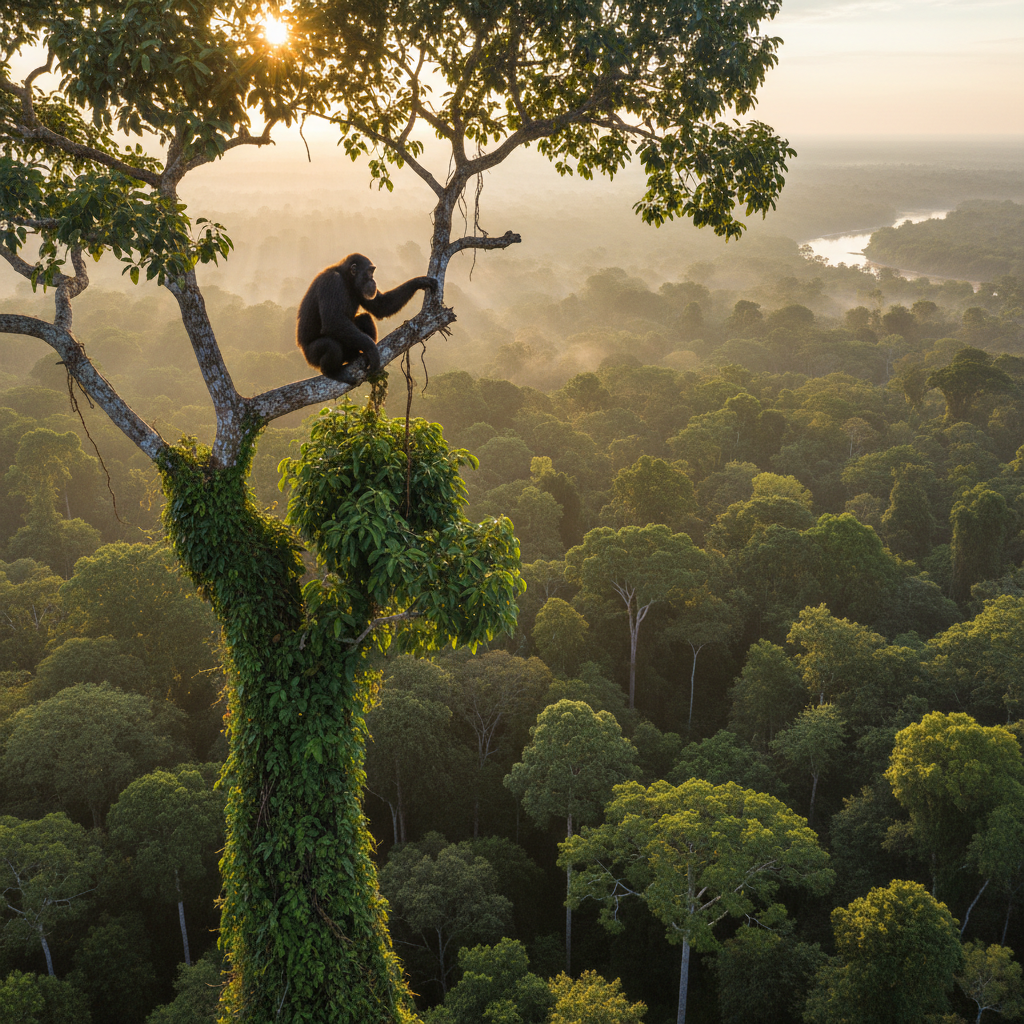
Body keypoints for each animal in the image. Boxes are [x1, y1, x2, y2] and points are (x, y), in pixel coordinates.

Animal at [296, 253, 437, 381]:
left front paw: (420, 281)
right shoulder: (332, 282)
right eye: (369, 271)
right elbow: (333, 321)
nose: (373, 278)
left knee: (365, 318)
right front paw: (372, 350)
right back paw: (332, 373)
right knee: (331, 345)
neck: (347, 280)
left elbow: (382, 305)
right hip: (311, 357)